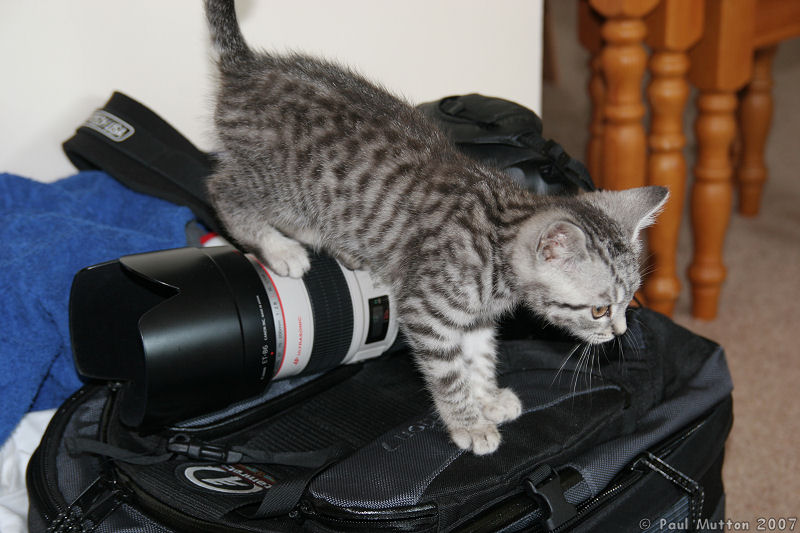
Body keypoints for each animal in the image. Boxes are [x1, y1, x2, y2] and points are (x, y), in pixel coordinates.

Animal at [202, 2, 668, 456]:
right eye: (600, 310)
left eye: (629, 301)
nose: (620, 331)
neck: (498, 243)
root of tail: (247, 68)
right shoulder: (426, 312)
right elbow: (448, 373)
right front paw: (468, 423)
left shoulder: (476, 320)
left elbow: (477, 358)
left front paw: (487, 397)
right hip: (281, 186)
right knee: (222, 189)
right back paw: (279, 250)